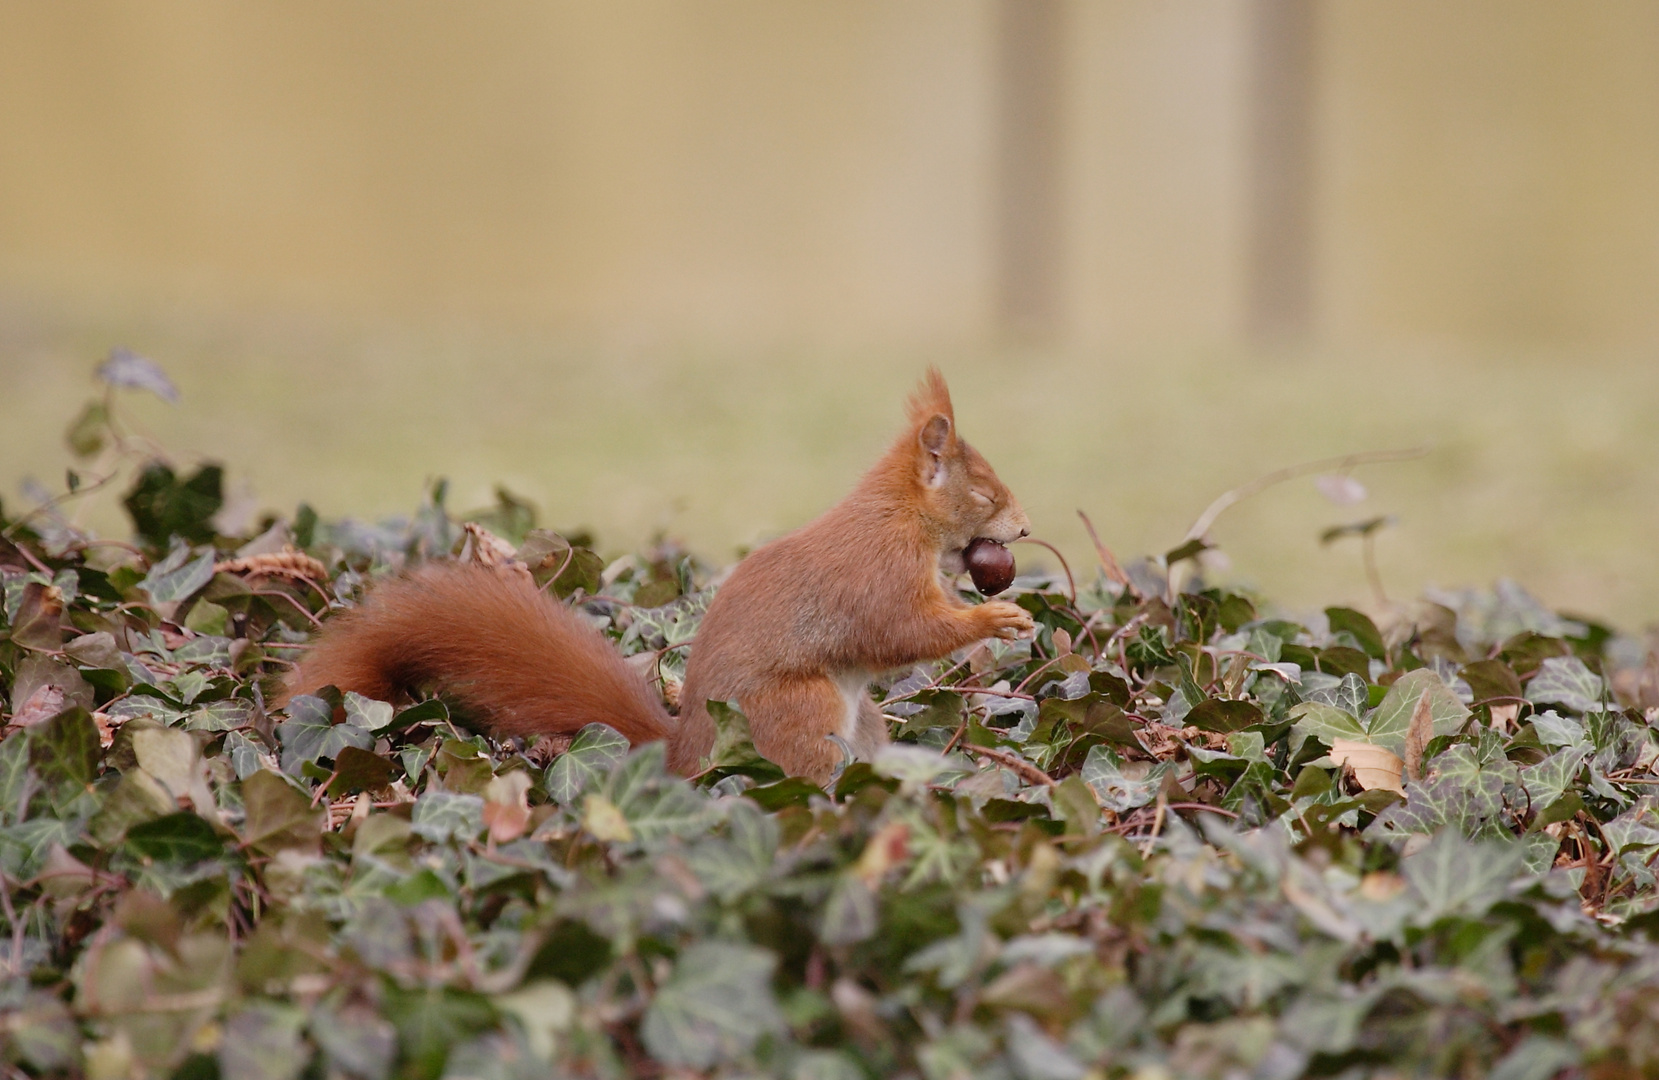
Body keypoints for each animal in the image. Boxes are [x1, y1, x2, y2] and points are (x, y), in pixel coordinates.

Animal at [287, 371, 1035, 786]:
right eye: (984, 492)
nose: (1026, 530)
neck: (901, 517)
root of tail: (686, 753)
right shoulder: (877, 574)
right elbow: (901, 631)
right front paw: (994, 620)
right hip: (801, 712)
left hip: (864, 724)